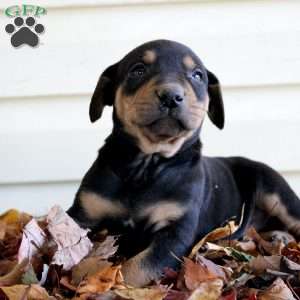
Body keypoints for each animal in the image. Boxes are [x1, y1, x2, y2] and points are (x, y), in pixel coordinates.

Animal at [67, 39, 300, 286]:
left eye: (197, 75)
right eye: (138, 70)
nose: (171, 95)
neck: (147, 165)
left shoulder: (175, 233)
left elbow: (137, 268)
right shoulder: (83, 213)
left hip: (276, 191)